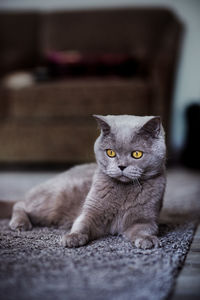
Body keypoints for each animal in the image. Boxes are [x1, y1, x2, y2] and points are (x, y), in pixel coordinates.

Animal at [0, 116, 166, 250]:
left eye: (137, 154)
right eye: (110, 152)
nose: (121, 166)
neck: (123, 192)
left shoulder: (146, 219)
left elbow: (143, 230)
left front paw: (147, 240)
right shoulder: (91, 211)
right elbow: (82, 224)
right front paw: (72, 238)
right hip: (54, 202)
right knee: (20, 204)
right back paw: (20, 224)